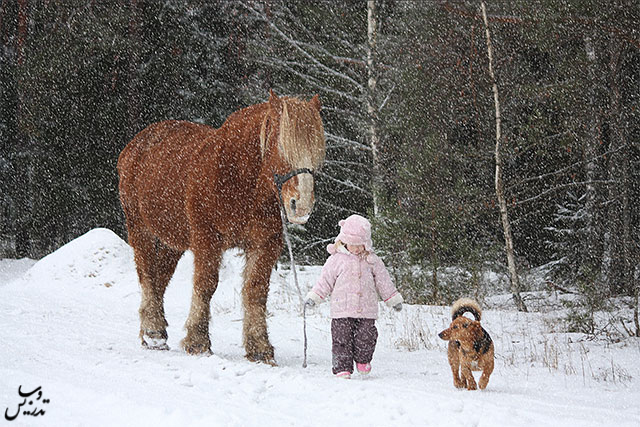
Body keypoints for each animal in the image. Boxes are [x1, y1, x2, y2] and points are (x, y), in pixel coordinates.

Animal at [117, 90, 324, 364]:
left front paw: (259, 347)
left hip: (172, 241)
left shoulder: (265, 244)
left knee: (161, 278)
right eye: (281, 146)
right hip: (140, 229)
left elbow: (256, 290)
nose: (301, 206)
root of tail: (135, 145)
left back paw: (154, 331)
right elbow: (206, 285)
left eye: (316, 151)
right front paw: (198, 341)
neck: (236, 177)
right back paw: (153, 331)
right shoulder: (207, 239)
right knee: (147, 275)